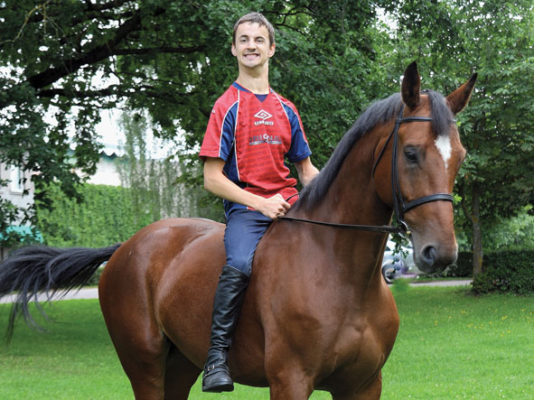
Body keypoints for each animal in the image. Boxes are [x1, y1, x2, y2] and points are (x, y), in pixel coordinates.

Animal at [0, 62, 476, 399]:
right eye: (411, 153)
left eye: (460, 156)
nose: (441, 253)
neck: (340, 272)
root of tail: (126, 248)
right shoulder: (290, 381)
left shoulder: (363, 385)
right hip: (144, 365)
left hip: (180, 364)